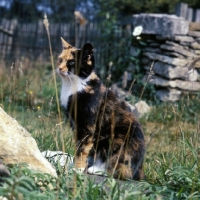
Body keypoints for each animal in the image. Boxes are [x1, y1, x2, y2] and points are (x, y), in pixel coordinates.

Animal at [57, 37, 145, 180]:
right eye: (60, 59)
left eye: (71, 62)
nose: (59, 68)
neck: (74, 85)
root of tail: (139, 171)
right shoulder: (75, 125)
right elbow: (78, 146)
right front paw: (76, 165)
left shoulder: (87, 126)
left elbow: (82, 148)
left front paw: (77, 168)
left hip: (117, 139)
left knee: (122, 172)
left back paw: (98, 170)